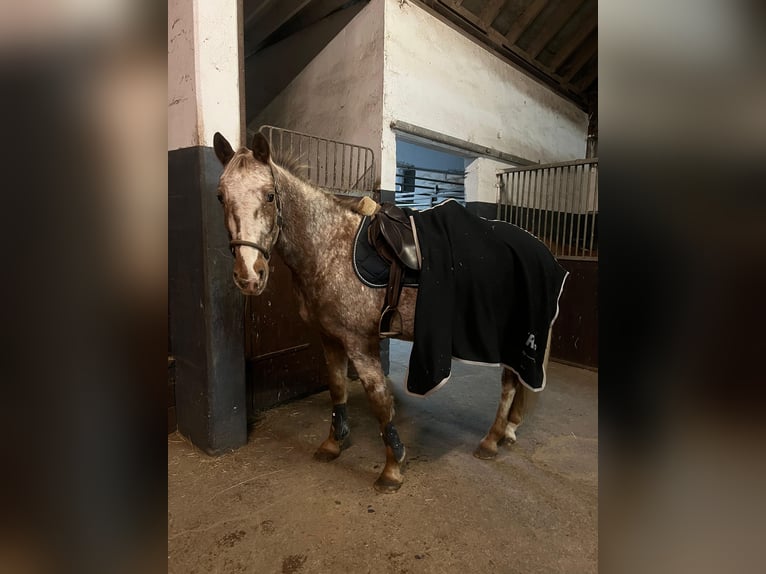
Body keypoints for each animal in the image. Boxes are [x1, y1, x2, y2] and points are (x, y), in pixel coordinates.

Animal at [213, 131, 535, 493]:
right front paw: (333, 443)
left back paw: (491, 440)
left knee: (509, 382)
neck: (328, 250)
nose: (249, 275)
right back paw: (508, 431)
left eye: (270, 196)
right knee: (518, 377)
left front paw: (392, 467)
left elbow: (380, 401)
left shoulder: (360, 343)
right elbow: (337, 387)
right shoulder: (330, 337)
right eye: (220, 197)